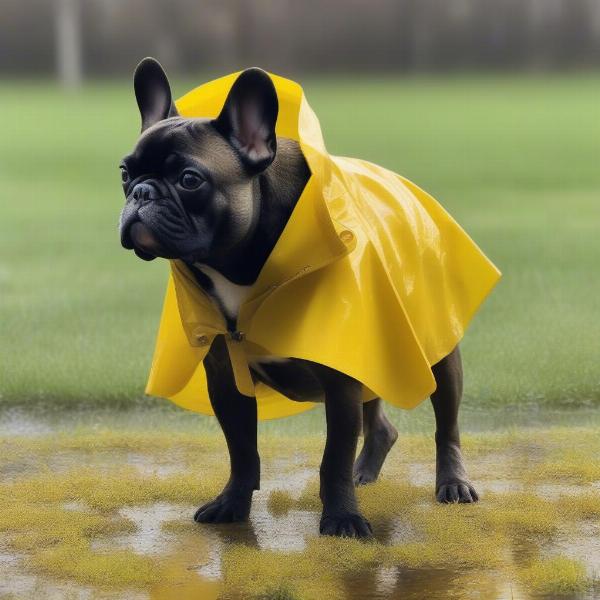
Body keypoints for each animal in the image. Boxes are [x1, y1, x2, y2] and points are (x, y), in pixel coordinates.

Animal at [118, 58, 478, 540]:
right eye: (124, 174)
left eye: (189, 179)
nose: (142, 192)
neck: (239, 264)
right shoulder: (226, 378)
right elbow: (241, 449)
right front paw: (233, 504)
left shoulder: (341, 376)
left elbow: (334, 458)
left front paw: (342, 517)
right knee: (380, 424)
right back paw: (367, 470)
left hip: (436, 352)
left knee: (447, 425)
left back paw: (452, 482)